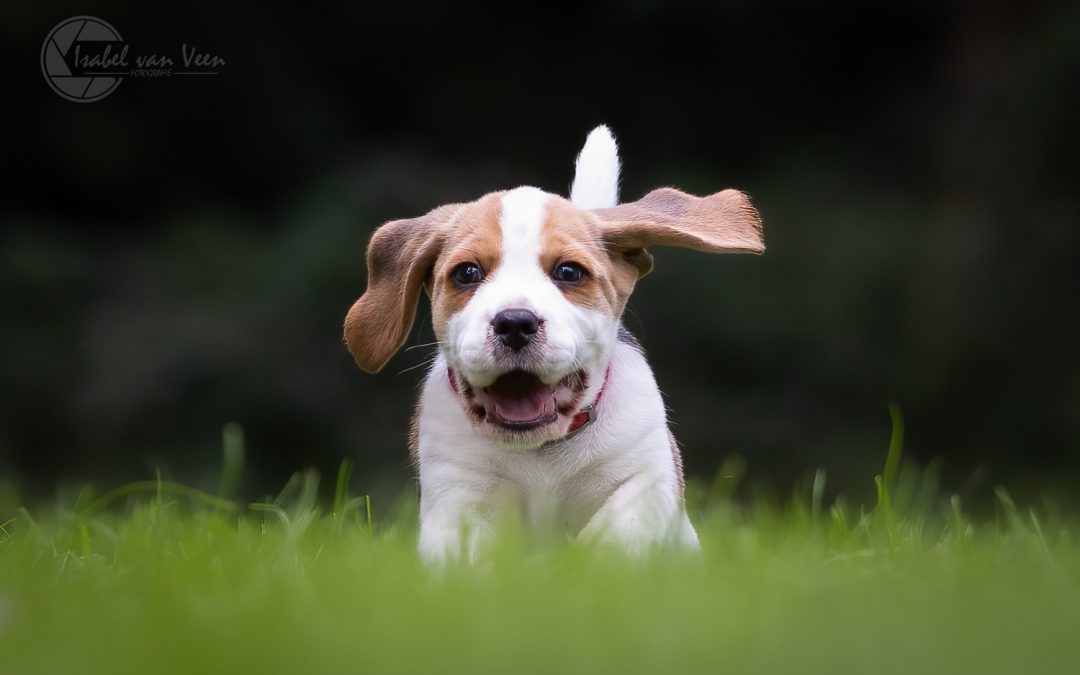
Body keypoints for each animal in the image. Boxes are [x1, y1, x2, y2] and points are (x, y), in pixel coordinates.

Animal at [343, 125, 760, 557]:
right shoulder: (455, 492)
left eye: (569, 272)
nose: (514, 323)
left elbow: (610, 535)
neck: (539, 451)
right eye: (467, 273)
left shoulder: (646, 479)